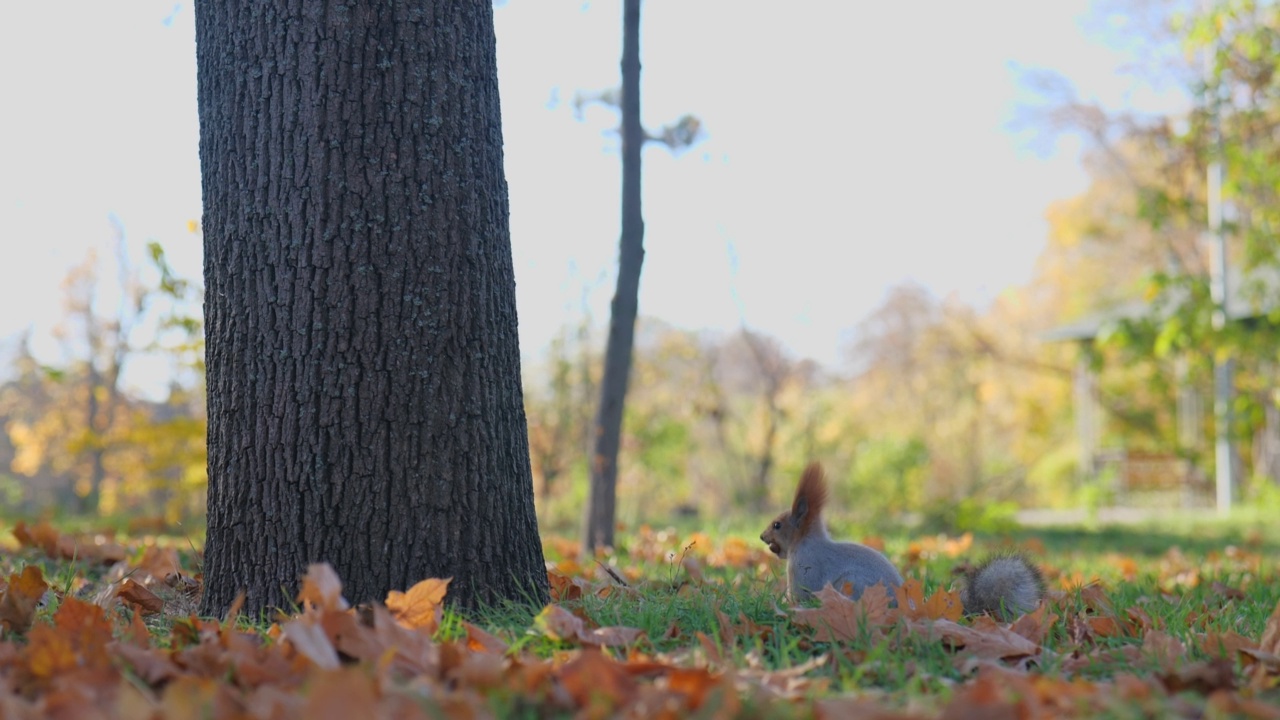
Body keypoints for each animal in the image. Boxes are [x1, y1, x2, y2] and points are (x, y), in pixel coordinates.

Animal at [757, 461, 1039, 620]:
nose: (761, 536)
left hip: (853, 585)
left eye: (777, 525)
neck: (805, 541)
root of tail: (907, 607)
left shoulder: (805, 568)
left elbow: (800, 595)